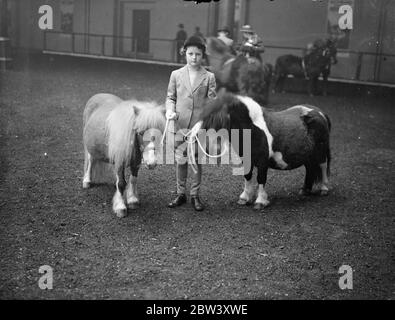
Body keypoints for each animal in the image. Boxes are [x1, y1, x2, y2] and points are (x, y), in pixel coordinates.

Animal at [193, 90, 332, 210]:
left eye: (213, 117)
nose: (195, 137)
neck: (253, 128)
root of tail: (321, 113)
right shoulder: (246, 160)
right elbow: (247, 177)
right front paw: (244, 198)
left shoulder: (262, 162)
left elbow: (261, 179)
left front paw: (260, 201)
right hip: (308, 154)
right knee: (310, 168)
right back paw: (305, 190)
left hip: (320, 151)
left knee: (323, 166)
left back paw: (324, 189)